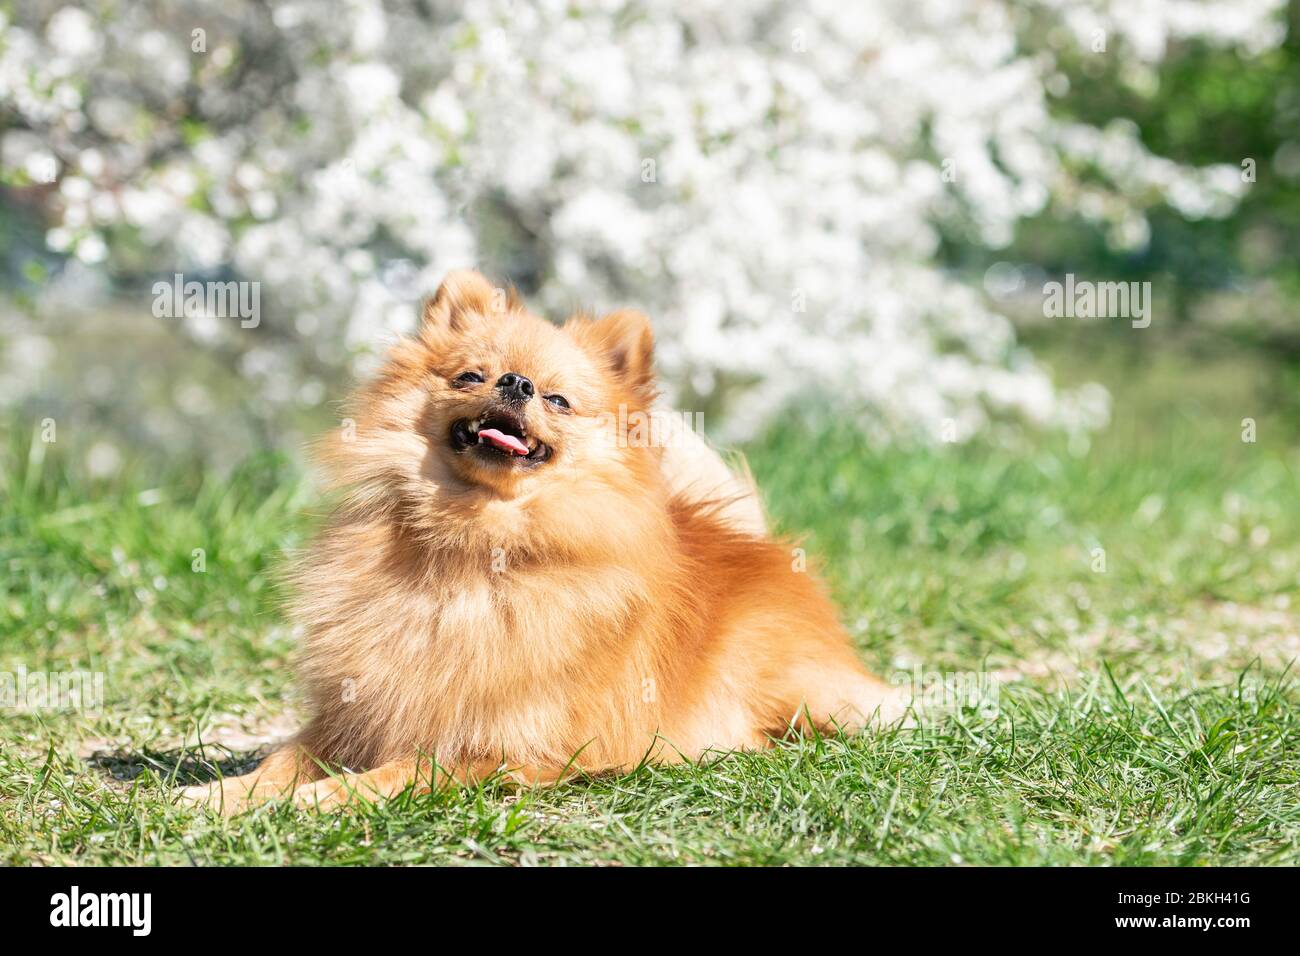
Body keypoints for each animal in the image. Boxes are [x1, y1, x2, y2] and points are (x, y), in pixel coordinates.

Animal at [183, 269, 909, 816]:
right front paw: (221, 795)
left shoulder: (500, 746)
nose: (517, 382)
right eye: (471, 376)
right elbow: (282, 757)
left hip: (803, 695)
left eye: (558, 400)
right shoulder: (354, 710)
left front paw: (316, 800)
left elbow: (397, 773)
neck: (473, 543)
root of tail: (760, 545)